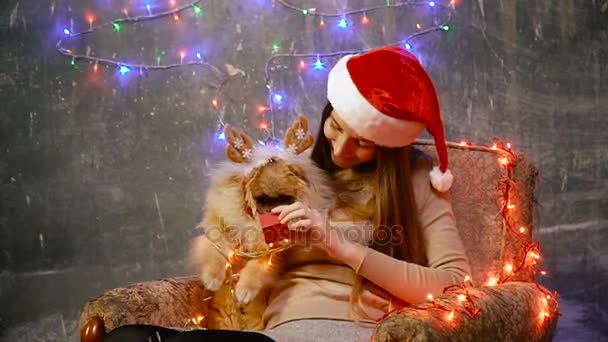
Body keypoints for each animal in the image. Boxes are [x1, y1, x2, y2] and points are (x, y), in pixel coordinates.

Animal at [190, 115, 332, 304]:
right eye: (263, 199)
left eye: (285, 199)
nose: (273, 212)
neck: (252, 221)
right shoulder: (220, 225)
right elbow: (217, 250)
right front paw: (212, 277)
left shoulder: (272, 250)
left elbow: (257, 267)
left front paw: (245, 289)